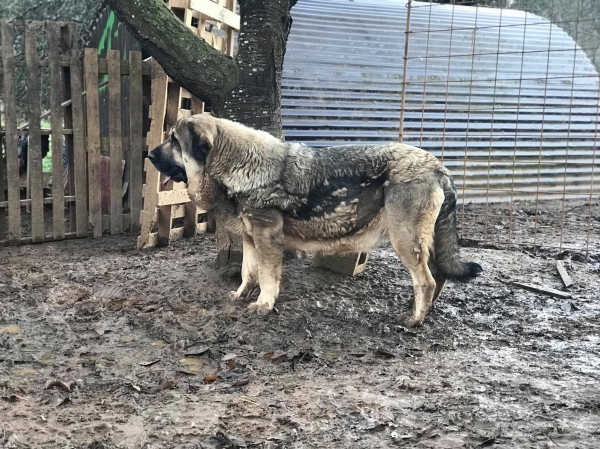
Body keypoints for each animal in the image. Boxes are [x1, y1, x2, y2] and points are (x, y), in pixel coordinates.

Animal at [150, 114, 482, 326]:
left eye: (174, 141)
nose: (149, 155)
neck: (236, 163)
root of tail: (439, 167)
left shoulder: (267, 239)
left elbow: (267, 277)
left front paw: (263, 305)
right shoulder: (249, 238)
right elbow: (248, 272)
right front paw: (242, 295)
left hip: (405, 239)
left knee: (426, 279)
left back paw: (415, 319)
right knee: (438, 274)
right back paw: (423, 310)